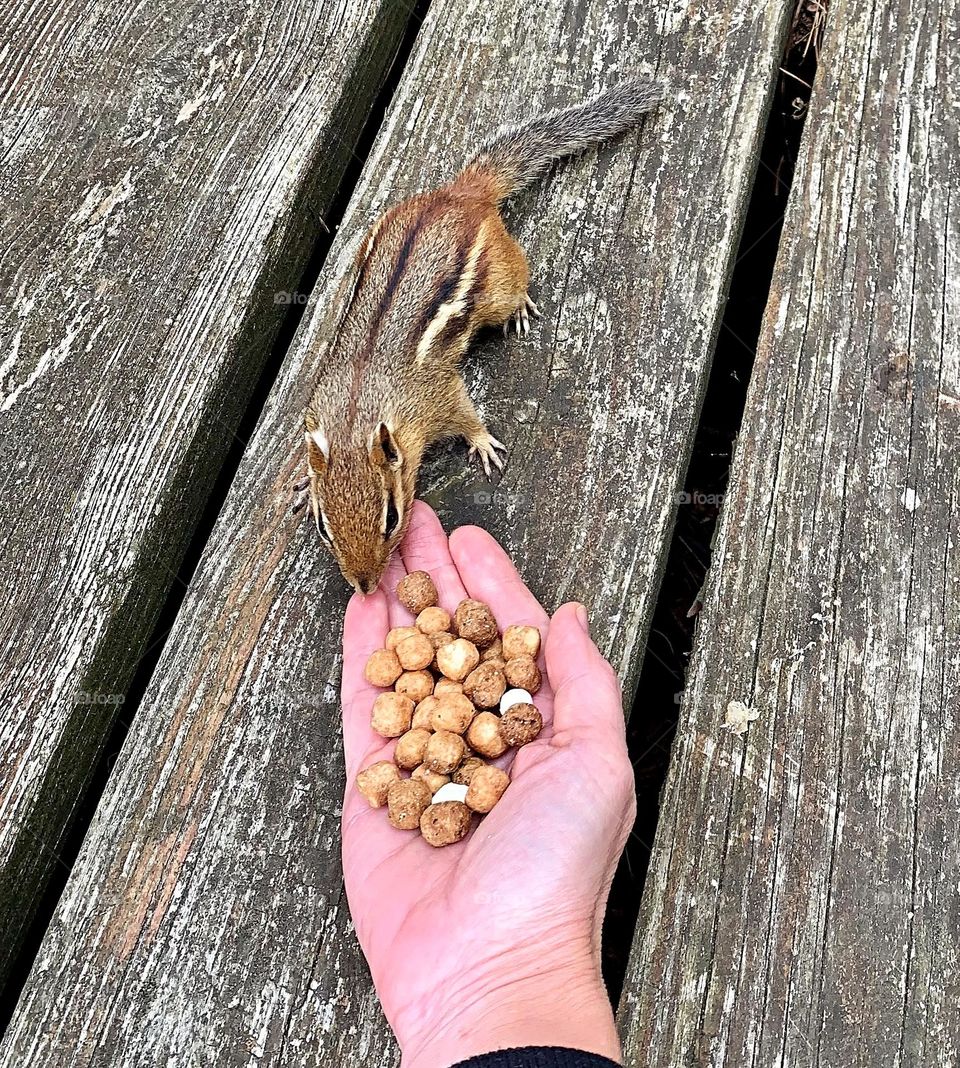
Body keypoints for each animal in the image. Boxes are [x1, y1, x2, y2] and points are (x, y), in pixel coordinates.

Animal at [296, 79, 663, 594]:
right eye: (324, 528)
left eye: (392, 518)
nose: (365, 586)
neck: (356, 411)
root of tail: (462, 194)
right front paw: (302, 480)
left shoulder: (438, 392)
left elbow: (465, 412)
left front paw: (482, 442)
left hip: (500, 282)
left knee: (518, 281)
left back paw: (522, 306)